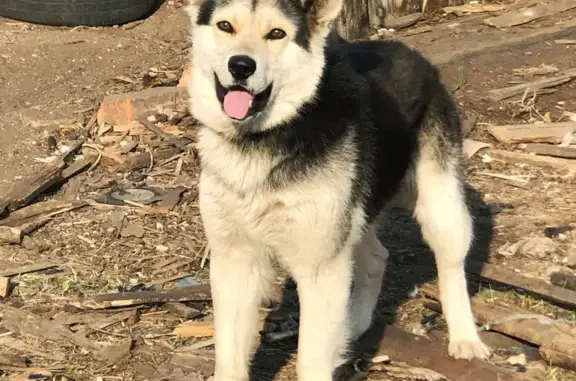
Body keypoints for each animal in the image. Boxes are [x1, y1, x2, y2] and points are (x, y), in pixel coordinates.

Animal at [184, 0, 490, 378]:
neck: (267, 135)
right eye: (225, 26)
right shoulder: (234, 259)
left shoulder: (320, 266)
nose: (241, 66)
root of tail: (412, 53)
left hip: (439, 208)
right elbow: (229, 357)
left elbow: (310, 359)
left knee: (451, 267)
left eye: (276, 33)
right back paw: (351, 325)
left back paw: (465, 337)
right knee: (376, 258)